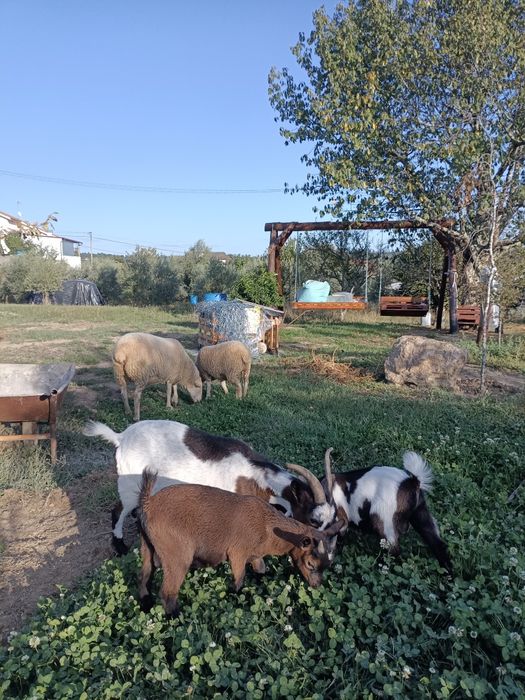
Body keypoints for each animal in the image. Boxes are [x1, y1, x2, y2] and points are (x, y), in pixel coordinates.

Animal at [83, 419, 337, 554]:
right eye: (314, 520)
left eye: (332, 521)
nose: (325, 552)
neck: (255, 475)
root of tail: (121, 436)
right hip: (129, 483)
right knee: (118, 511)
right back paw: (120, 547)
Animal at [137, 470, 344, 616]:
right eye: (310, 564)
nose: (316, 585)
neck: (267, 525)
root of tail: (148, 504)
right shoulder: (237, 553)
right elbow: (238, 582)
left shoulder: (255, 555)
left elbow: (261, 570)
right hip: (177, 556)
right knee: (168, 593)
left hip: (147, 547)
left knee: (145, 579)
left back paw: (146, 606)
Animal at [323, 449, 452, 575]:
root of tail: (412, 481)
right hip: (420, 512)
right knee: (437, 542)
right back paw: (447, 573)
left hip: (384, 518)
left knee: (394, 549)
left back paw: (382, 568)